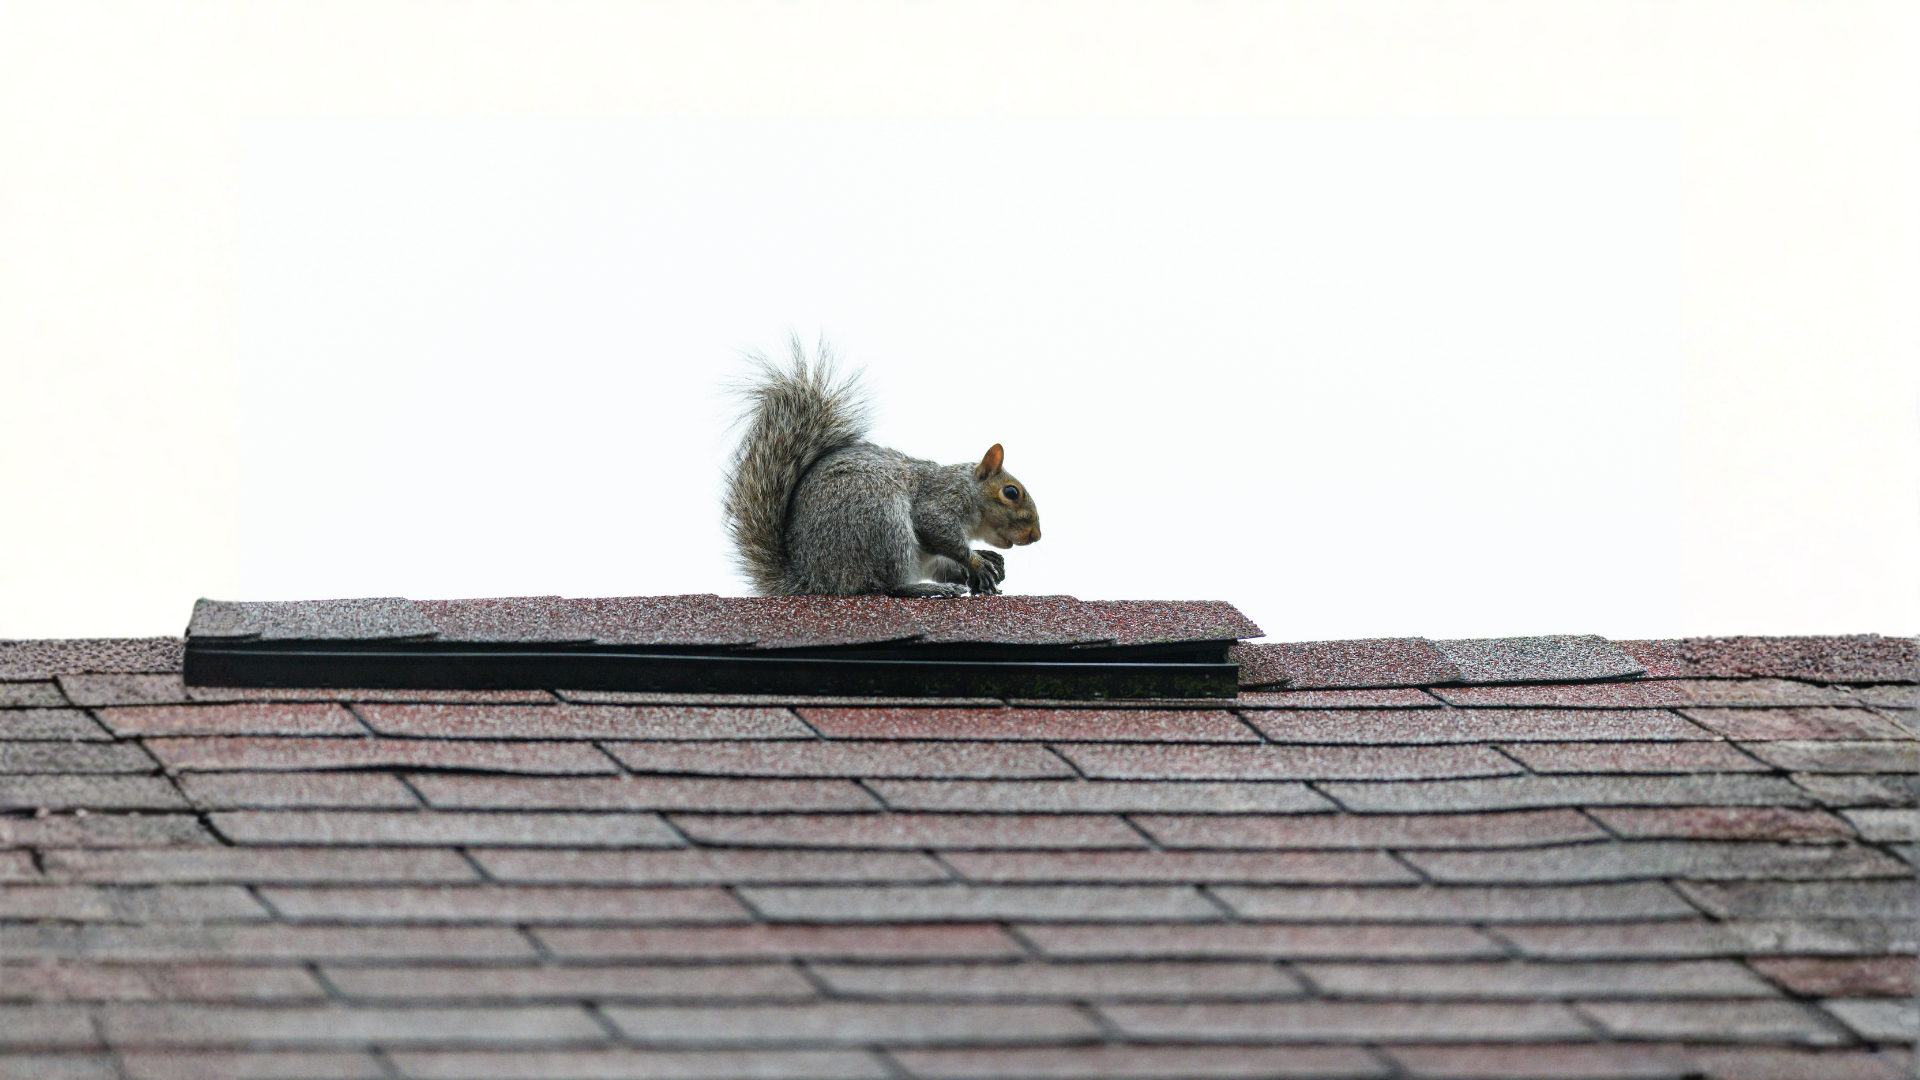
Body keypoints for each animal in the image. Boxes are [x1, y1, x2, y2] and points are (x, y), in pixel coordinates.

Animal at [723, 339, 1041, 598]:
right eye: (1011, 493)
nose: (1035, 536)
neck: (968, 489)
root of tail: (817, 579)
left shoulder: (931, 554)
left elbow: (941, 561)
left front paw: (986, 564)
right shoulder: (940, 500)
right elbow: (936, 527)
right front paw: (976, 561)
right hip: (883, 520)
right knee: (887, 585)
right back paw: (927, 589)